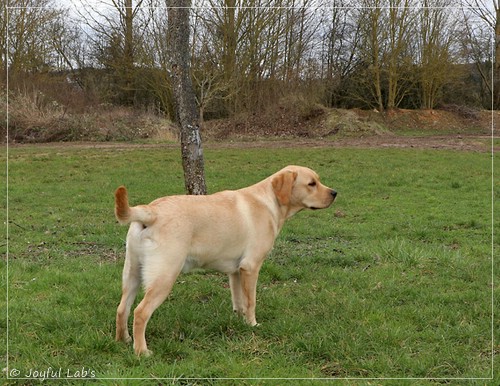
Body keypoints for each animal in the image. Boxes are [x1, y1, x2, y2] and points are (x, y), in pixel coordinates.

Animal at [115, 164, 338, 354]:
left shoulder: (236, 271)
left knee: (122, 309)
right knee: (140, 313)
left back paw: (123, 341)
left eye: (318, 181)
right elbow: (251, 301)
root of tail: (151, 212)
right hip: (164, 276)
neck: (270, 202)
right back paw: (141, 351)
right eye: (312, 183)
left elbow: (239, 301)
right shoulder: (251, 267)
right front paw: (253, 324)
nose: (335, 193)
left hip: (132, 275)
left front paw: (240, 322)